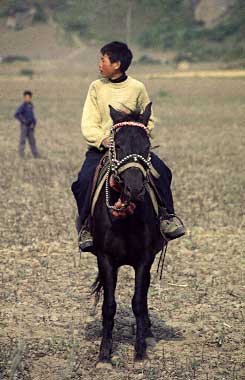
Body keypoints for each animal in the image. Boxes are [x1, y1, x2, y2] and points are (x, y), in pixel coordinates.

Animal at [91, 102, 164, 366]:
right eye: (118, 145)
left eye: (147, 146)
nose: (134, 189)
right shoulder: (105, 259)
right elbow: (109, 306)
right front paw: (104, 355)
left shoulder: (144, 259)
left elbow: (138, 303)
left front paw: (140, 352)